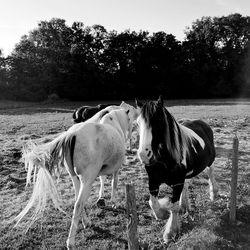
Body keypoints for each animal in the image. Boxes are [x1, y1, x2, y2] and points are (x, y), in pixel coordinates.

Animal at [14, 102, 139, 250]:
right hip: (87, 180)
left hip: (76, 178)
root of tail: (71, 135)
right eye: (130, 117)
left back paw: (86, 222)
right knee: (79, 204)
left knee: (78, 200)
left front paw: (102, 198)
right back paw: (71, 242)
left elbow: (103, 180)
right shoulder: (116, 169)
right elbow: (114, 185)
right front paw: (113, 203)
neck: (113, 121)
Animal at [135, 96, 219, 244]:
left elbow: (173, 207)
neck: (163, 159)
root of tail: (203, 123)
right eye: (138, 123)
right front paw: (162, 214)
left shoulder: (177, 181)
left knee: (210, 172)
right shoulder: (153, 180)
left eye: (158, 122)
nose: (144, 155)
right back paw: (184, 205)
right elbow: (152, 203)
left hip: (210, 161)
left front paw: (170, 232)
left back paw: (213, 193)